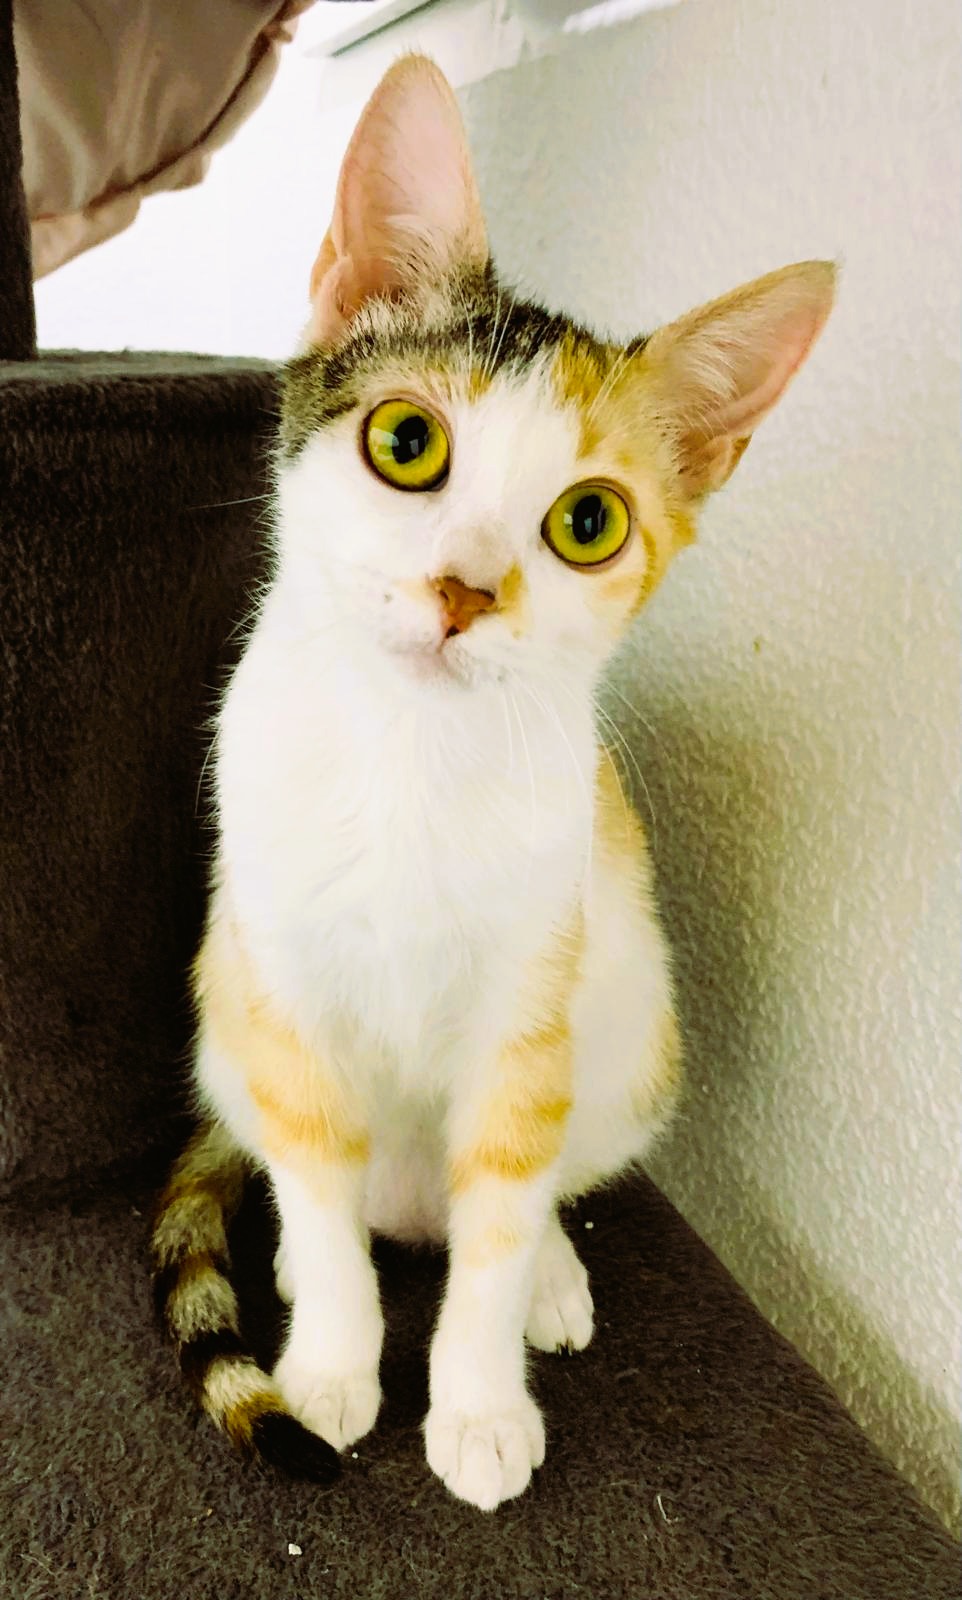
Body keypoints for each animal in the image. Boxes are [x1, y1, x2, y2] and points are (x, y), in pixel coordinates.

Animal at [151, 53, 834, 1512]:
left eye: (587, 522)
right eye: (406, 443)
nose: (463, 589)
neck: (412, 758)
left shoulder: (531, 1003)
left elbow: (503, 1211)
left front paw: (474, 1400)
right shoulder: (283, 983)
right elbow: (317, 1186)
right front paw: (332, 1363)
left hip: (632, 1027)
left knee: (519, 1195)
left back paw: (546, 1281)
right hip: (225, 1008)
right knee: (320, 1185)